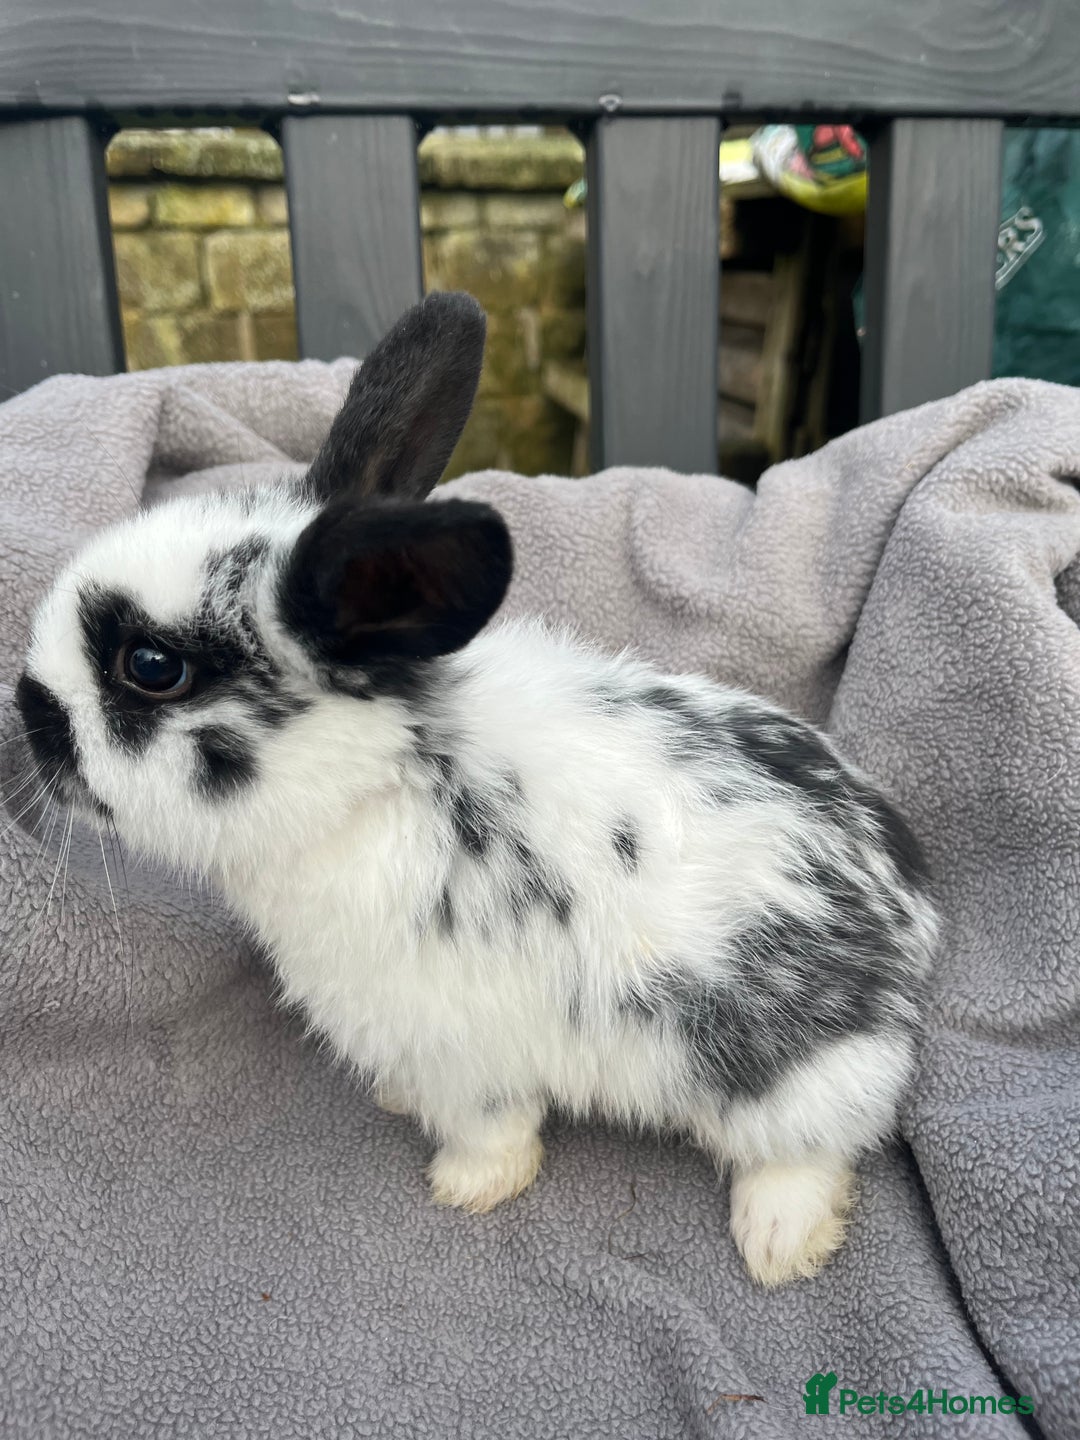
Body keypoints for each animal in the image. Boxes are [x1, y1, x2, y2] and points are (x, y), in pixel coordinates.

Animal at [15, 290, 938, 1288]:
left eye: (151, 667)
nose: (27, 711)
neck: (381, 778)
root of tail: (911, 911)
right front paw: (395, 1103)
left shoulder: (465, 1049)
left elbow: (493, 1130)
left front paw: (467, 1188)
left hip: (784, 1068)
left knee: (817, 1144)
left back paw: (779, 1245)